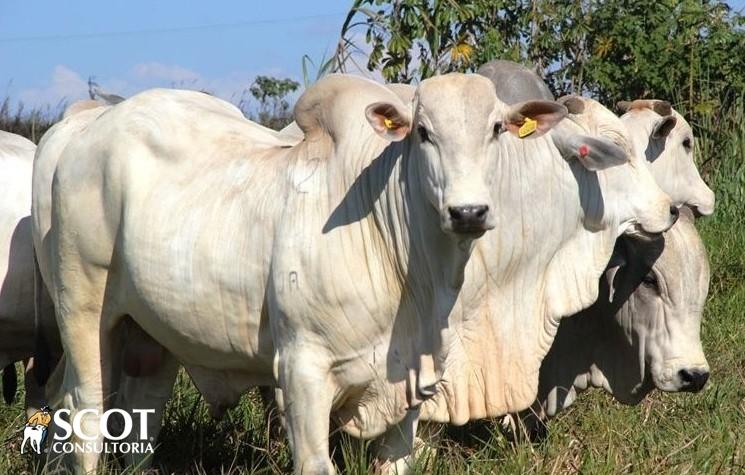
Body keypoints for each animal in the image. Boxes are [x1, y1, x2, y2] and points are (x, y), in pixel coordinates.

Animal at [33, 72, 600, 474]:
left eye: (497, 129)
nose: (468, 212)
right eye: (423, 133)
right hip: (82, 308)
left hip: (151, 333)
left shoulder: (410, 390)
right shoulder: (301, 372)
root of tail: (87, 127)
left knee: (140, 415)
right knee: (86, 414)